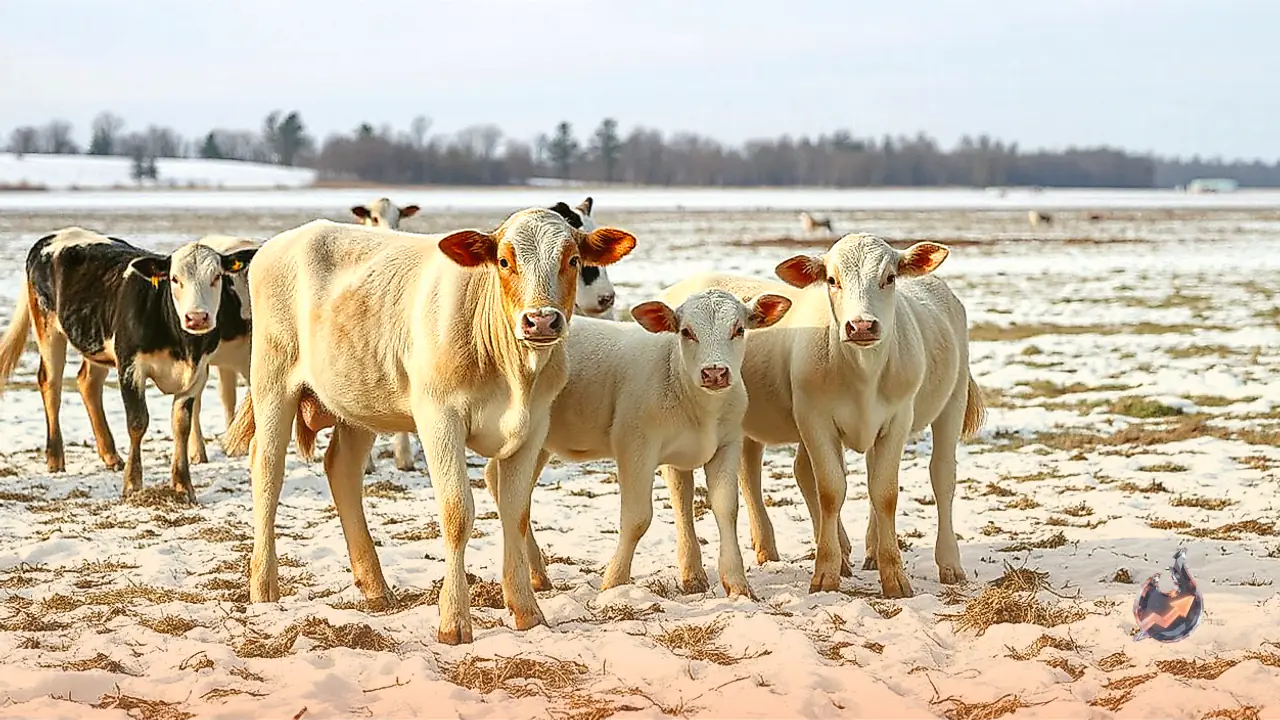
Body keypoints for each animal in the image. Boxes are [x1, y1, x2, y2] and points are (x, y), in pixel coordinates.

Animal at [0, 228, 256, 502]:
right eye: (174, 279)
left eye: (217, 276)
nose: (197, 318)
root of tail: (54, 236)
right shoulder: (130, 367)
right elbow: (137, 422)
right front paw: (133, 484)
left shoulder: (198, 372)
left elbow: (182, 425)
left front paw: (183, 485)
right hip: (47, 327)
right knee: (51, 384)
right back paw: (55, 458)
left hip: (96, 340)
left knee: (88, 382)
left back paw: (110, 455)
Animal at [220, 208, 637, 644]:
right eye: (504, 262)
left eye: (573, 260)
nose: (540, 321)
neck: (512, 370)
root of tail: (285, 239)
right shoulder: (439, 418)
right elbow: (457, 512)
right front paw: (453, 621)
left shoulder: (533, 428)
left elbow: (516, 513)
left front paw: (527, 611)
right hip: (272, 380)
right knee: (267, 470)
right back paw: (264, 587)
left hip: (359, 400)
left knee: (342, 470)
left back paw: (375, 586)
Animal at [481, 289, 791, 598]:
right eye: (686, 331)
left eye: (739, 330)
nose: (715, 373)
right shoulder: (635, 443)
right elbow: (638, 518)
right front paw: (614, 580)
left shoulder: (726, 444)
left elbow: (726, 509)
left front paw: (738, 583)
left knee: (500, 482)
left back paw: (537, 573)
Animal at [661, 234, 984, 598]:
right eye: (832, 280)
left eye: (889, 278)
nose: (861, 326)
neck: (863, 373)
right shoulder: (814, 418)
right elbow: (830, 489)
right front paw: (827, 571)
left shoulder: (897, 420)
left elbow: (884, 493)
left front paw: (893, 575)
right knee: (693, 486)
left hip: (953, 400)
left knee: (941, 476)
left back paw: (944, 563)